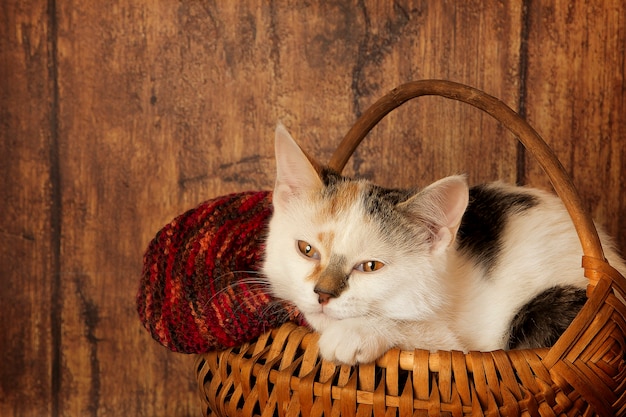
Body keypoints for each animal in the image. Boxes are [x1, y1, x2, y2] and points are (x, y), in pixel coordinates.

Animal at [260, 122, 624, 362]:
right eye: (307, 249)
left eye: (371, 266)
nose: (322, 293)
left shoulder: (470, 350)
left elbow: (433, 337)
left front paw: (356, 333)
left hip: (550, 309)